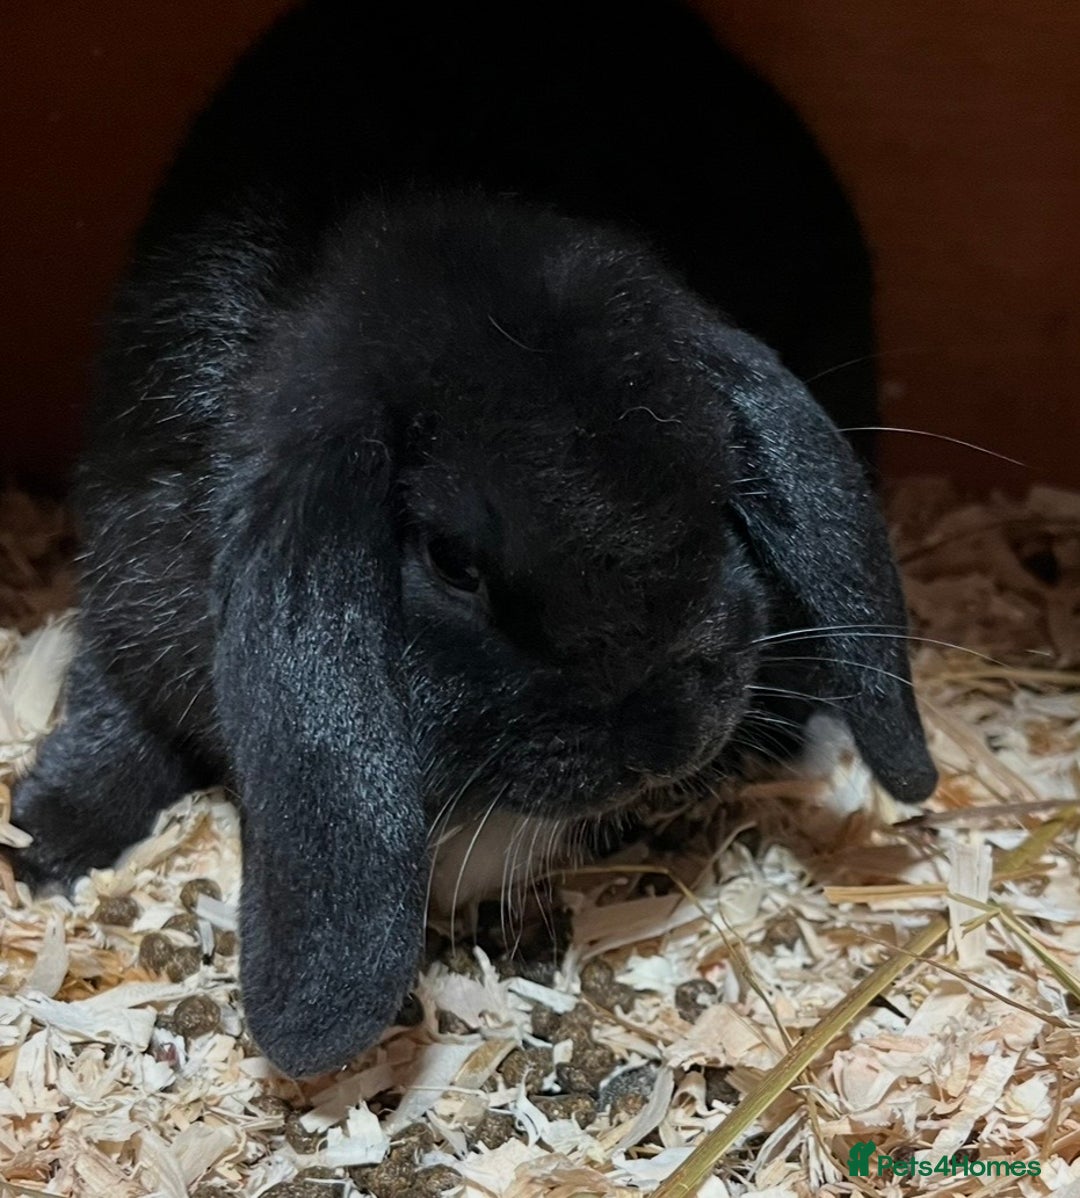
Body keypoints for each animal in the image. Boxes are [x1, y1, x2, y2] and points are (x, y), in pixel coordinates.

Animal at [11, 0, 936, 1077]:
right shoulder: (132, 574)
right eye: (455, 564)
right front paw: (51, 840)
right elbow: (118, 709)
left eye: (718, 496)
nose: (669, 736)